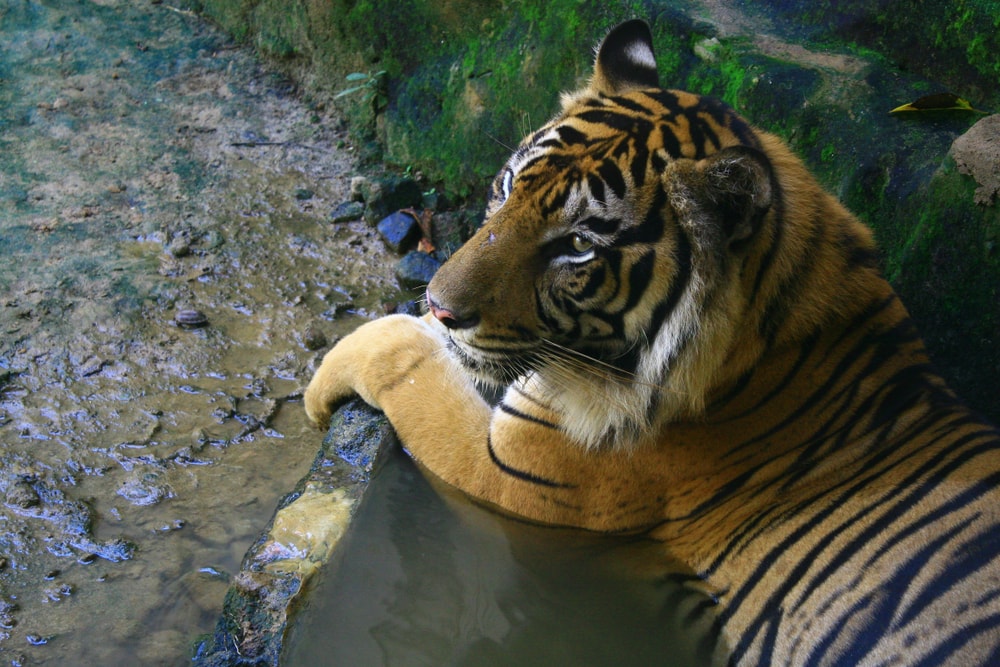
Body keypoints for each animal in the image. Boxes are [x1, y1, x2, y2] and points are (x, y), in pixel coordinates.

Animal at [305, 19, 1000, 666]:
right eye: (505, 189)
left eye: (577, 245)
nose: (440, 305)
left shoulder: (506, 470)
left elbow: (406, 360)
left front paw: (327, 381)